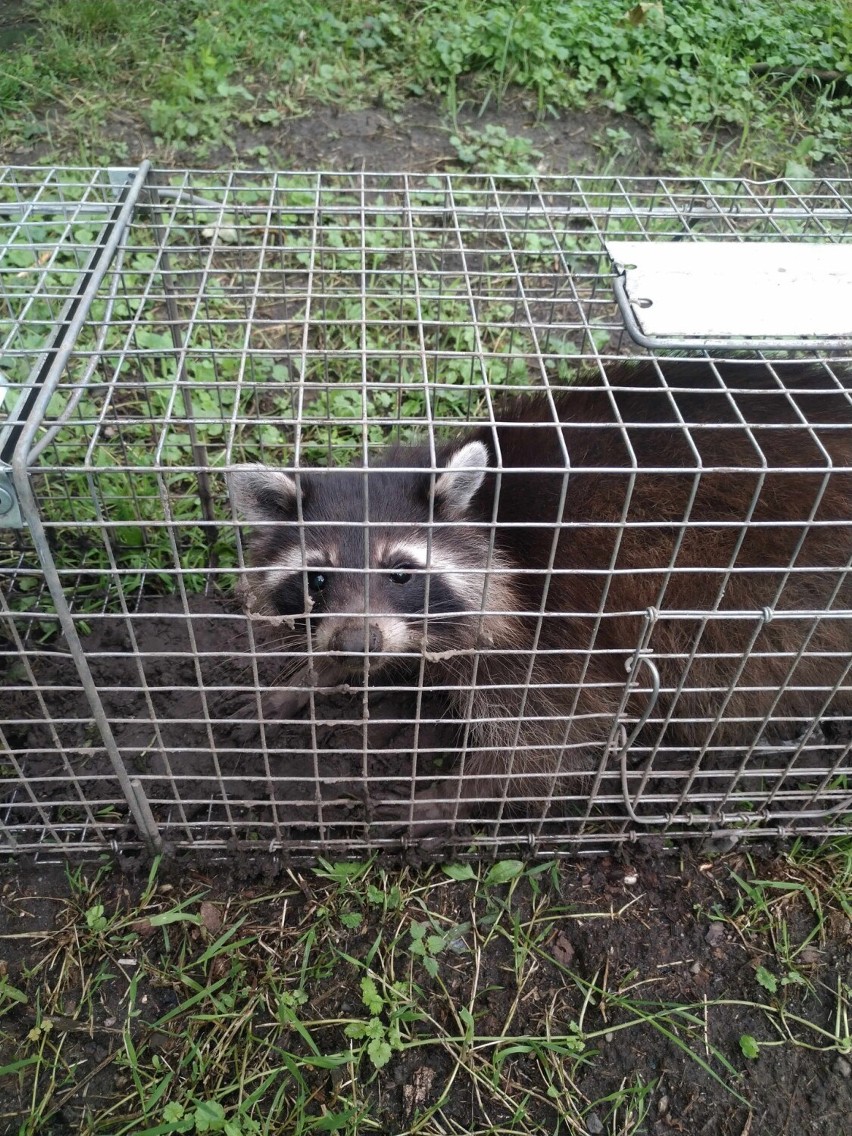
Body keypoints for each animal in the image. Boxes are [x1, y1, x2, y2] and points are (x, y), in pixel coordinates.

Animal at [228, 358, 852, 831]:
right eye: (317, 579)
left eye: (401, 573)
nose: (358, 644)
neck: (489, 521)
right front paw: (308, 675)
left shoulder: (552, 621)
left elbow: (560, 722)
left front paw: (458, 792)